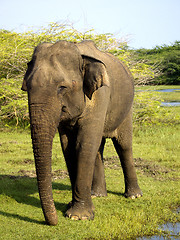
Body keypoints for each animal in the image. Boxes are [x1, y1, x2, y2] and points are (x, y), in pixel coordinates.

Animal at [21, 40, 142, 226]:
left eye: (62, 88)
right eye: (26, 87)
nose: (54, 222)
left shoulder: (100, 95)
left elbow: (84, 144)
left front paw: (79, 216)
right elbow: (69, 147)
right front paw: (72, 209)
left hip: (127, 107)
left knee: (123, 145)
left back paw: (134, 196)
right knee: (98, 147)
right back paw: (97, 195)